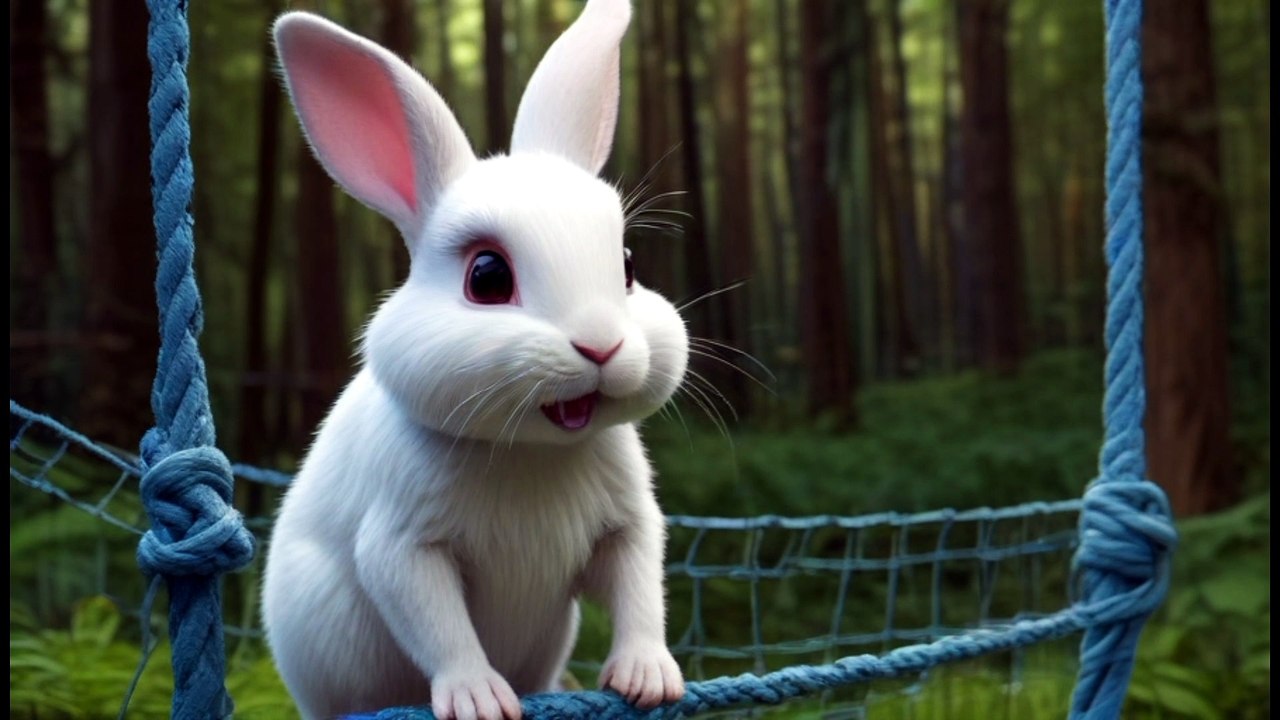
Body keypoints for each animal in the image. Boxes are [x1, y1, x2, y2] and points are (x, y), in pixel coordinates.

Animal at [261, 2, 688, 719]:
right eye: (486, 277)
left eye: (627, 266)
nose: (601, 345)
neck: (529, 451)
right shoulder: (404, 544)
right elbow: (438, 623)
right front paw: (478, 699)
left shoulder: (630, 525)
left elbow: (640, 592)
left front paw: (648, 679)